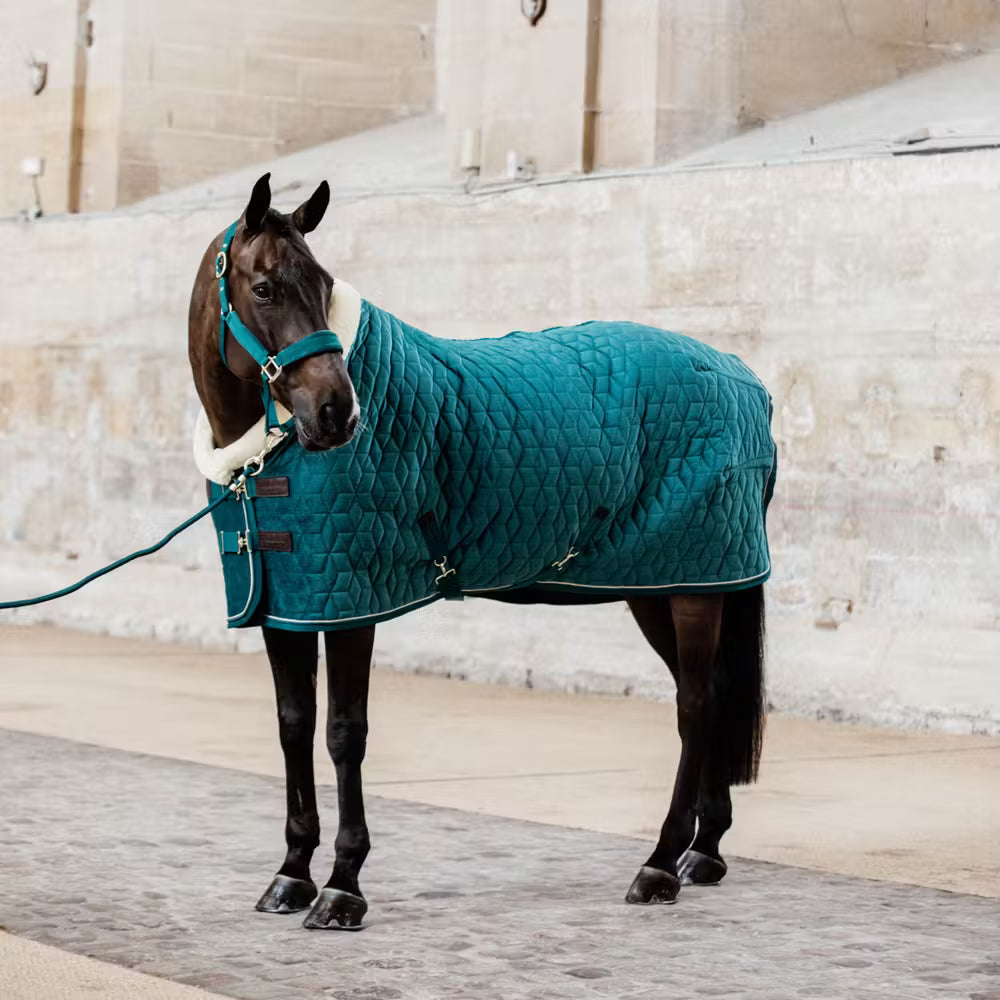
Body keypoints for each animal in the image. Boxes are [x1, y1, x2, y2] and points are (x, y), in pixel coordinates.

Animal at [188, 173, 772, 930]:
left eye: (323, 283)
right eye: (264, 288)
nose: (339, 413)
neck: (260, 459)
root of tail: (741, 376)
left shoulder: (350, 603)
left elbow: (344, 733)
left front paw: (343, 886)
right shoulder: (287, 605)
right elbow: (294, 728)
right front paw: (290, 875)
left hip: (694, 583)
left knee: (696, 706)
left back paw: (658, 865)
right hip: (664, 584)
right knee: (710, 697)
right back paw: (703, 852)